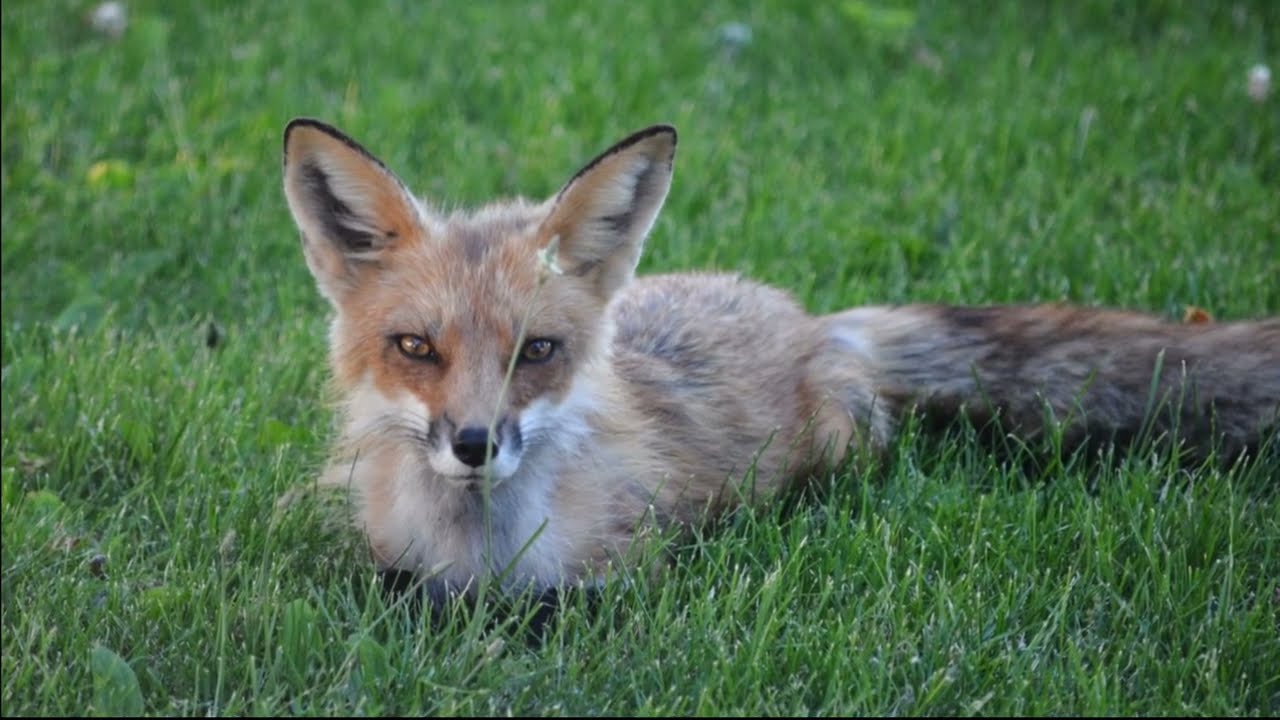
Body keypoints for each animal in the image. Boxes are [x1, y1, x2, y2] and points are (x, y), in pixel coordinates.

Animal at [281, 118, 1279, 605]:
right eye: (416, 347)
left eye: (538, 351)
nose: (476, 444)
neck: (480, 560)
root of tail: (810, 319)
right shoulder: (368, 551)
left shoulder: (617, 580)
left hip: (842, 446)